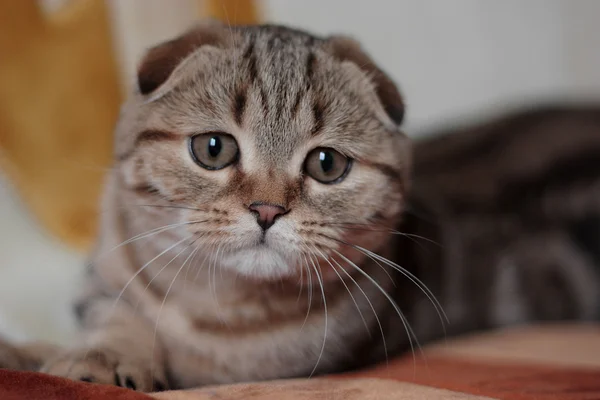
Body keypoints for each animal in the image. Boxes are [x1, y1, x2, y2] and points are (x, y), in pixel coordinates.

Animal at [1, 21, 600, 390]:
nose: (267, 209)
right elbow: (111, 315)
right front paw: (77, 354)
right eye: (213, 149)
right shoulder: (104, 278)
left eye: (326, 164)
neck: (210, 301)